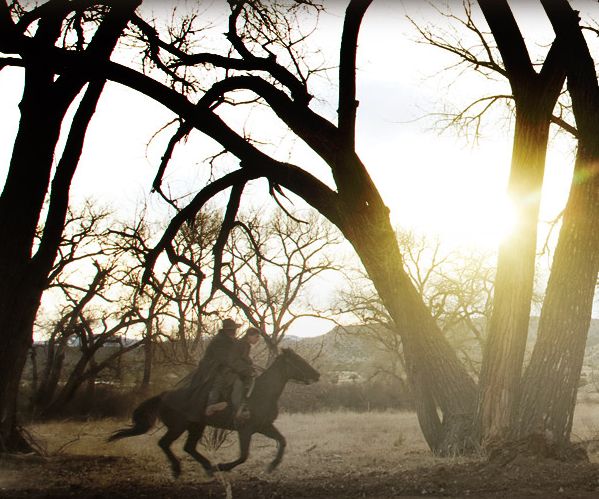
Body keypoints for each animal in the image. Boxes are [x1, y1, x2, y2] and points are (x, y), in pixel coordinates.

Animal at [109, 348, 322, 476]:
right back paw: (179, 469)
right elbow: (244, 455)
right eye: (297, 360)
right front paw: (224, 466)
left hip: (196, 426)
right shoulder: (245, 430)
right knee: (165, 443)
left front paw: (272, 466)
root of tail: (164, 395)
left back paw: (208, 467)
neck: (262, 393)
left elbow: (282, 441)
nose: (317, 374)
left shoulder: (265, 426)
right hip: (178, 427)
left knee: (189, 447)